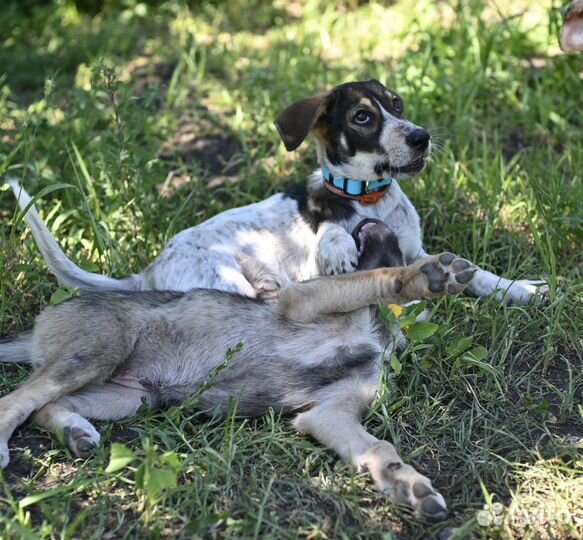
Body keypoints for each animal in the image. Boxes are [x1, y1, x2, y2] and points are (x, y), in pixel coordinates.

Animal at [0, 220, 474, 524]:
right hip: (100, 351)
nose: (372, 217)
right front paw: (425, 277)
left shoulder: (329, 414)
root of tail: (39, 327)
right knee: (17, 400)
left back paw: (74, 433)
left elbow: (380, 450)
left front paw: (410, 487)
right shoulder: (302, 300)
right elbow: (376, 279)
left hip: (127, 396)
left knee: (44, 406)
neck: (378, 332)